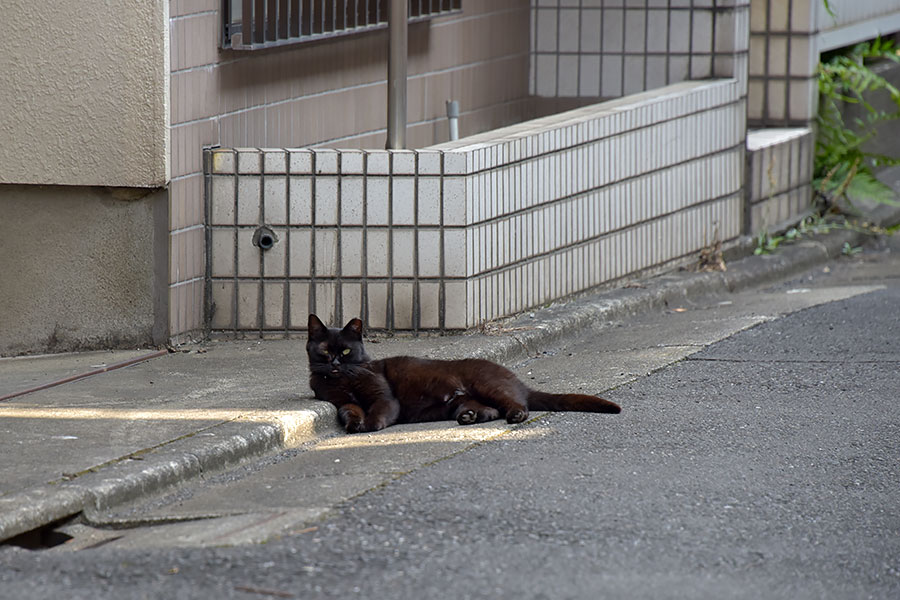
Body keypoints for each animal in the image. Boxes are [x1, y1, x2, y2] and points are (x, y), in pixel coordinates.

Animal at [308, 312, 620, 434]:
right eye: (324, 351)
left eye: (345, 351)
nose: (334, 363)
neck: (345, 381)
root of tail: (516, 378)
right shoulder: (339, 400)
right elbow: (348, 410)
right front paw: (353, 424)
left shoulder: (383, 395)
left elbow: (379, 409)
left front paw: (369, 425)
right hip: (460, 399)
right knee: (489, 410)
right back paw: (470, 417)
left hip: (486, 384)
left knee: (515, 403)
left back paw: (514, 415)